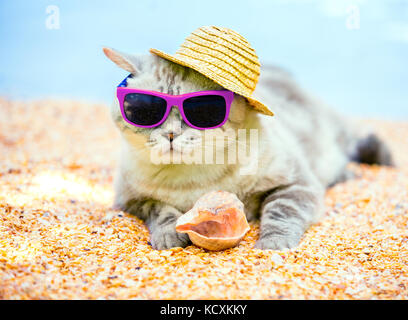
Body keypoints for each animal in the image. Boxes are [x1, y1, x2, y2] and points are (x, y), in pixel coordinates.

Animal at [103, 47, 394, 250]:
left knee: (358, 146)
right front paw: (169, 236)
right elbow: (161, 210)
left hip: (336, 138)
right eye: (144, 110)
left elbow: (280, 213)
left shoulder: (296, 184)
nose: (171, 134)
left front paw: (273, 245)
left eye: (202, 111)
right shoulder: (132, 199)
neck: (193, 181)